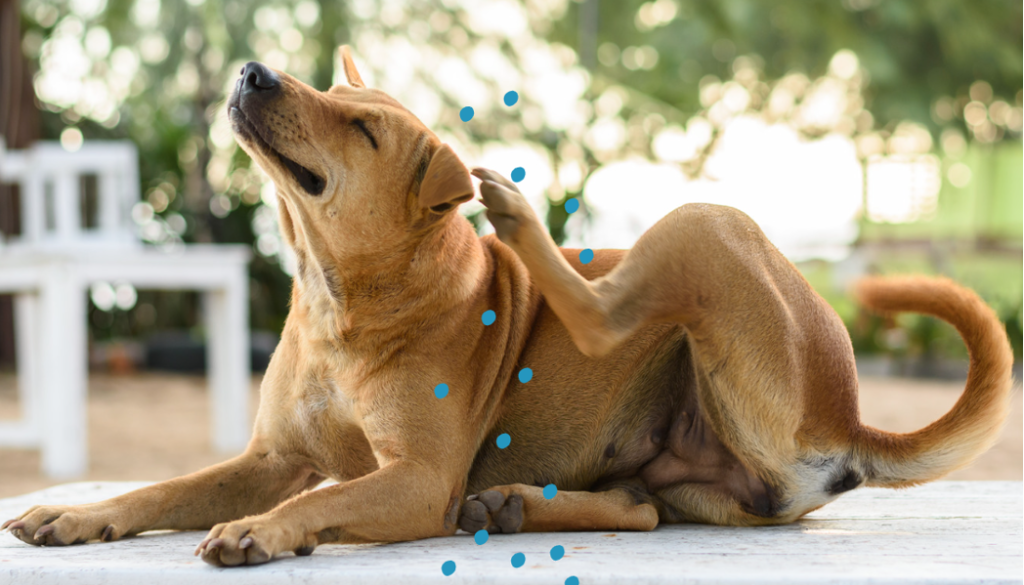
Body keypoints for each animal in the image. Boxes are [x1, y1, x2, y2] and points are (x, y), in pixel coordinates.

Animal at [4, 48, 1011, 565]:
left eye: (360, 126)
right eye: (330, 90)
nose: (255, 72)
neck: (342, 299)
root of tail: (848, 413)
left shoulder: (417, 479)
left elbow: (320, 498)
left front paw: (262, 530)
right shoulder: (270, 457)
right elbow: (163, 489)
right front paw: (82, 514)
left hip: (706, 224)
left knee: (605, 313)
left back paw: (519, 220)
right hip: (690, 477)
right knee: (642, 509)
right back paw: (520, 503)